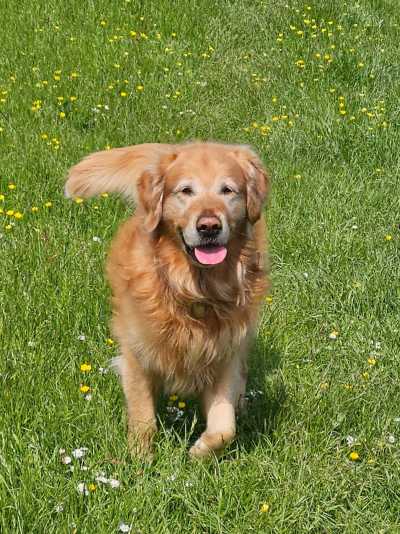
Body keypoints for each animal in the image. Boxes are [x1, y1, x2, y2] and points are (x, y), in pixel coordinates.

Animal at [65, 142, 270, 460]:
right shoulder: (137, 355)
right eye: (186, 191)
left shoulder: (224, 355)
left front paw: (199, 451)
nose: (209, 226)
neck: (193, 289)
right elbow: (143, 418)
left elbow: (224, 428)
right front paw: (140, 461)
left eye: (228, 190)